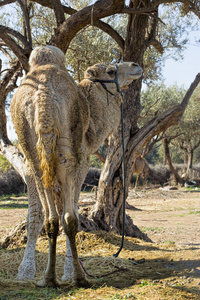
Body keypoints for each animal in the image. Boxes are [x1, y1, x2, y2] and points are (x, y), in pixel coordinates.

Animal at [10, 45, 142, 288]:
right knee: (68, 217)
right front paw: (65, 272)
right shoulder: (81, 165)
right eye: (111, 71)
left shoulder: (29, 167)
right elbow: (60, 215)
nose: (136, 65)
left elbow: (39, 216)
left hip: (34, 149)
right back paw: (76, 276)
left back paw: (49, 278)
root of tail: (43, 95)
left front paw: (28, 272)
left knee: (53, 217)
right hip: (67, 157)